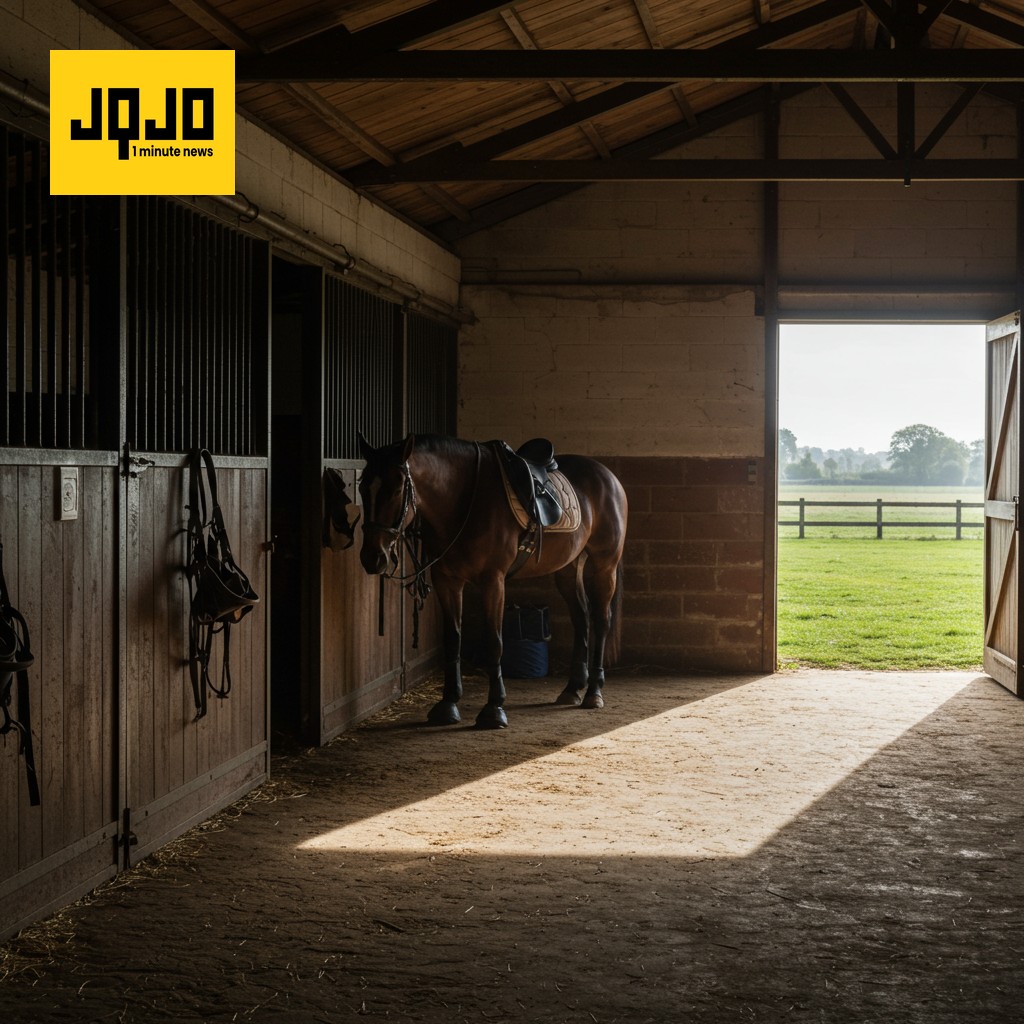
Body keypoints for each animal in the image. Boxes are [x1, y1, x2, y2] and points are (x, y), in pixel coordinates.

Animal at [356, 433, 628, 729]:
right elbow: (453, 638)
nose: (373, 557)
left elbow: (494, 641)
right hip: (568, 568)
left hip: (604, 565)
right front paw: (448, 704)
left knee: (601, 620)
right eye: (362, 488)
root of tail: (608, 476)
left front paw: (494, 709)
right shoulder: (447, 580)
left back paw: (594, 692)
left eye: (396, 490)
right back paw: (572, 689)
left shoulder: (493, 581)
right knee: (581, 618)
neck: (464, 498)